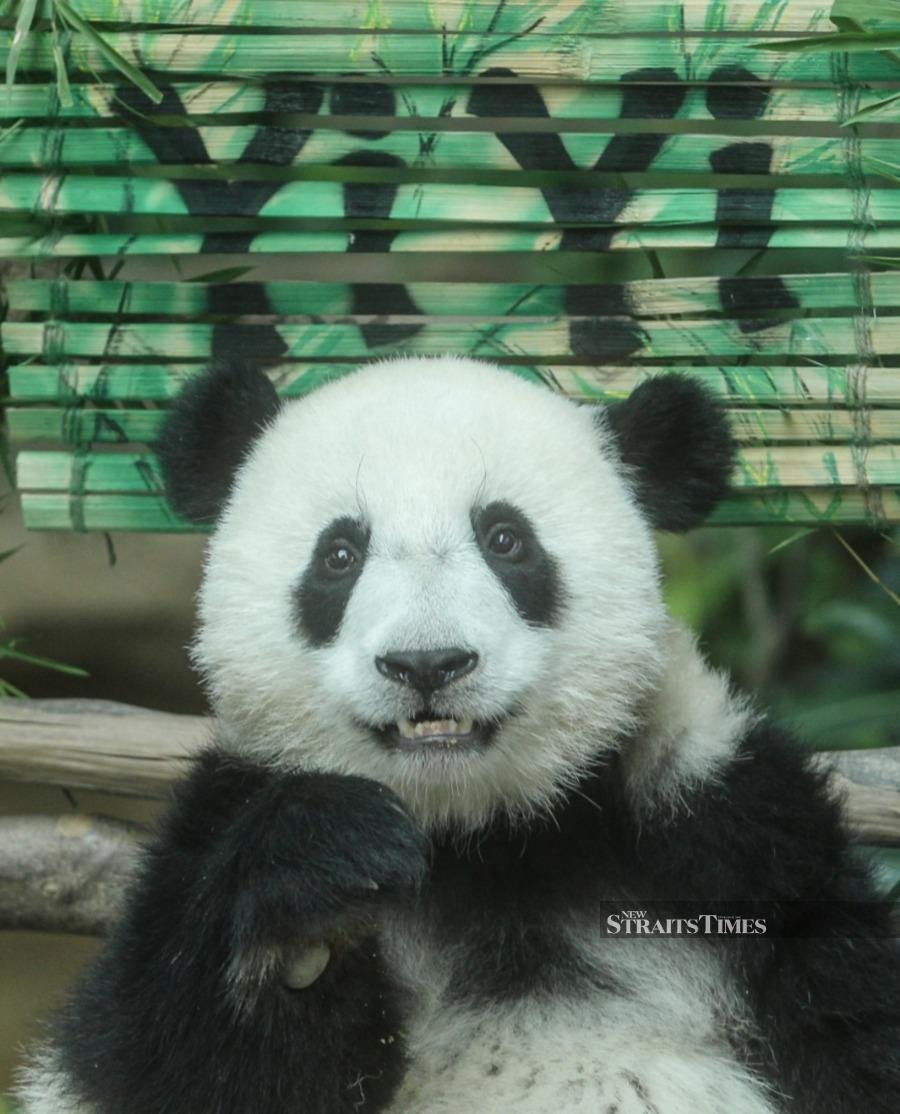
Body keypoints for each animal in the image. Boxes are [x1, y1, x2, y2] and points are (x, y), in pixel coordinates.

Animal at [15, 358, 900, 1114]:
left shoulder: (732, 837)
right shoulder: (220, 814)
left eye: (506, 539)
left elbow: (857, 1033)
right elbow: (147, 1057)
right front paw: (317, 891)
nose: (427, 663)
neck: (480, 837)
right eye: (340, 553)